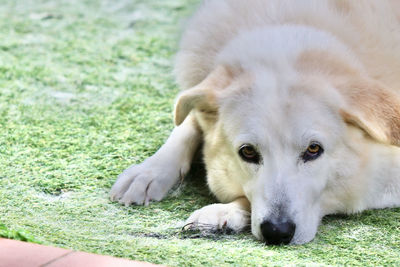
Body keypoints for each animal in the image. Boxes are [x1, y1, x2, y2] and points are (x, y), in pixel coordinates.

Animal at [110, 0, 400, 246]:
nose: (277, 232)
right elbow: (187, 122)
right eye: (248, 152)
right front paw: (150, 171)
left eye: (314, 149)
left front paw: (224, 211)